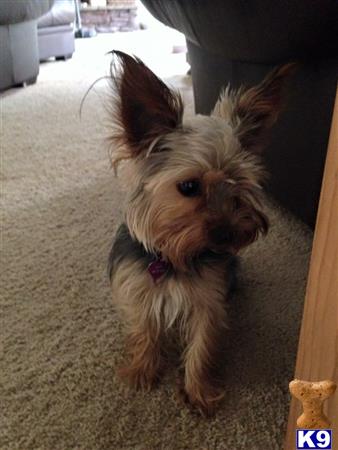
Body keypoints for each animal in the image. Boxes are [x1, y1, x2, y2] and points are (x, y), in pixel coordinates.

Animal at [108, 51, 294, 414]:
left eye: (239, 186)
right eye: (189, 187)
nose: (228, 234)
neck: (173, 258)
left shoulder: (207, 302)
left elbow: (201, 346)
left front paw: (198, 391)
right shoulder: (138, 290)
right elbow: (144, 329)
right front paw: (143, 369)